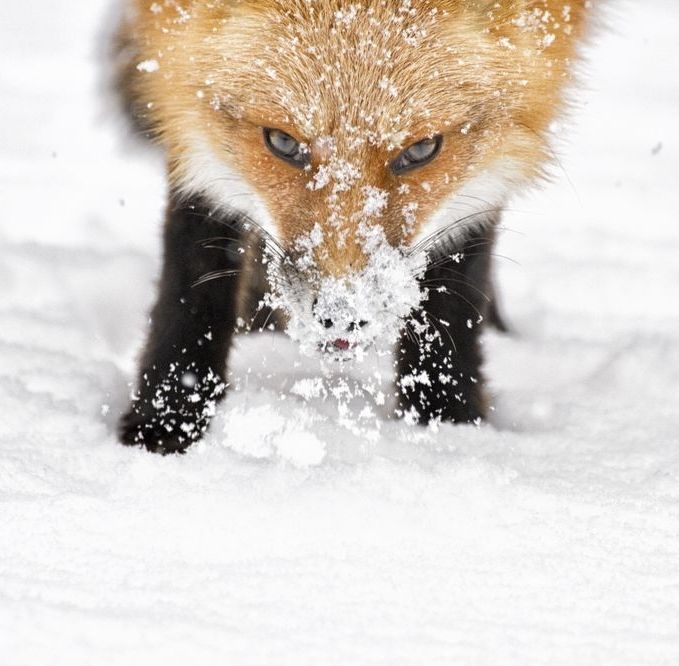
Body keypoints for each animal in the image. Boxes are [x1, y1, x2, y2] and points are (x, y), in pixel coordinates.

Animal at [115, 0, 588, 452]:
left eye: (421, 150)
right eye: (283, 142)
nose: (342, 317)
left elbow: (459, 270)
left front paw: (446, 421)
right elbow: (196, 243)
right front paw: (171, 414)